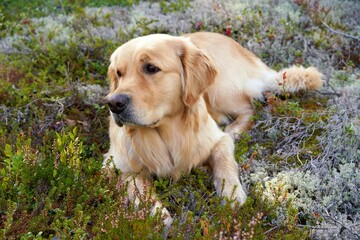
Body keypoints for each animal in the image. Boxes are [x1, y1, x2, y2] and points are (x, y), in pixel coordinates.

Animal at [102, 31, 322, 225]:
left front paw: (231, 193)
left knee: (249, 108)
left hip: (220, 89)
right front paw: (157, 214)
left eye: (151, 68)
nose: (114, 103)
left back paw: (233, 130)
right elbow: (138, 186)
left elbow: (224, 161)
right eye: (119, 73)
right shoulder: (115, 165)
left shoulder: (217, 140)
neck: (167, 133)